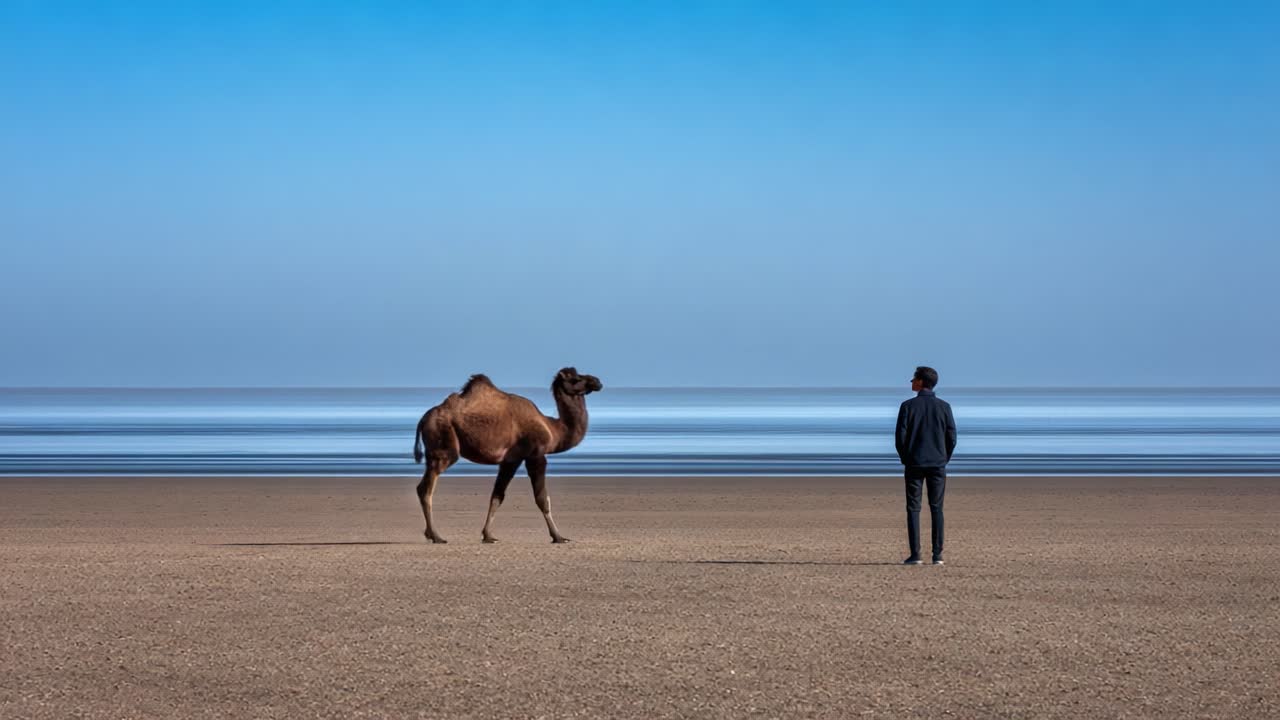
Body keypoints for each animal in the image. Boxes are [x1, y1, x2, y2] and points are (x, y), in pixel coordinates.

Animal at [412, 367, 603, 544]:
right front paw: (558, 537)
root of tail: (423, 419)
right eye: (575, 378)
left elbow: (497, 496)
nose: (597, 381)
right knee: (425, 488)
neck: (553, 429)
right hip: (443, 446)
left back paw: (431, 534)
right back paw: (436, 536)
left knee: (424, 487)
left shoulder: (511, 460)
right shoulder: (536, 455)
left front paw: (488, 535)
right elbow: (542, 498)